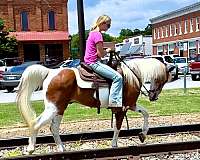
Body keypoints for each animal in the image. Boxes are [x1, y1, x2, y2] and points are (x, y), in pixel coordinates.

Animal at [16, 57, 174, 154]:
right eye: (163, 80)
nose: (153, 96)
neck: (131, 76)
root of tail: (50, 71)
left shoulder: (131, 104)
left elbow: (146, 113)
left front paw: (142, 135)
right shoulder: (123, 108)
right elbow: (118, 127)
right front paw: (114, 145)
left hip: (59, 108)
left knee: (53, 128)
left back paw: (61, 149)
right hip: (53, 108)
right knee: (36, 123)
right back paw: (31, 148)